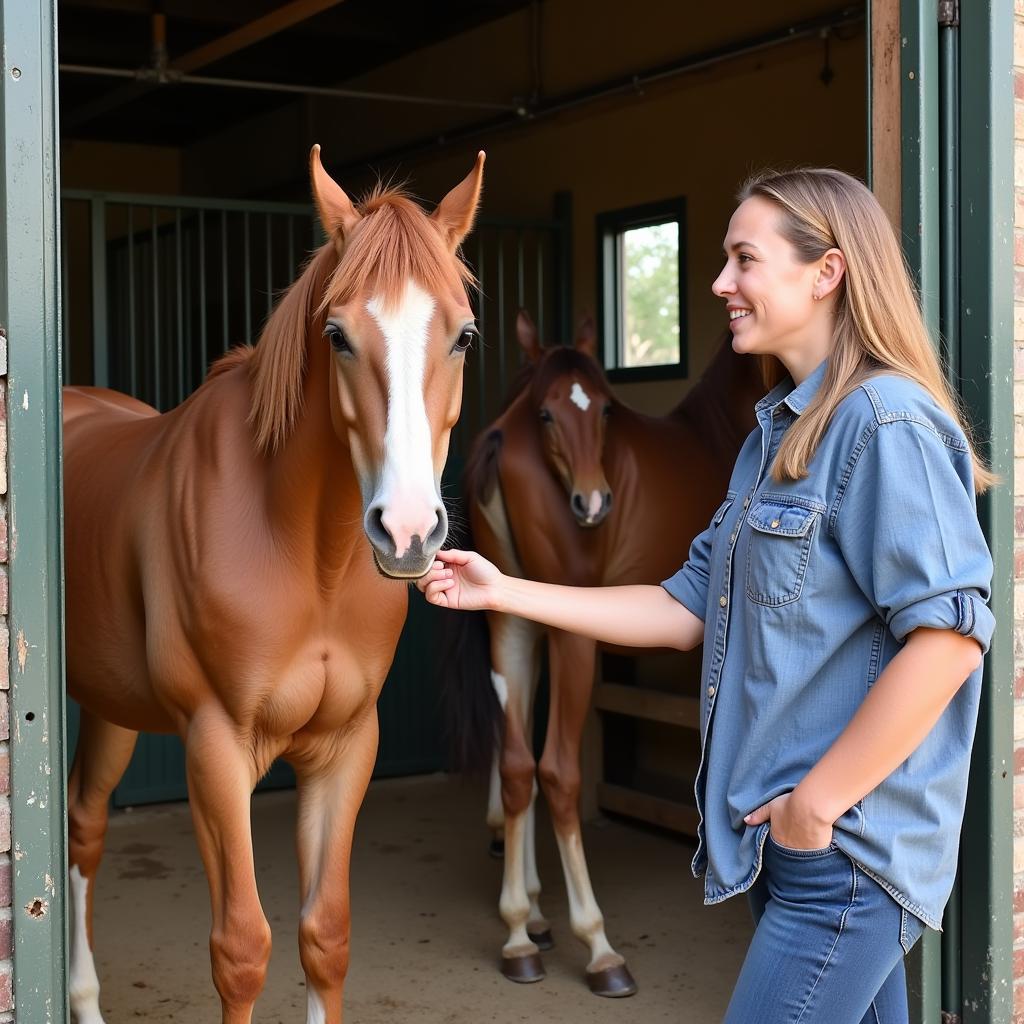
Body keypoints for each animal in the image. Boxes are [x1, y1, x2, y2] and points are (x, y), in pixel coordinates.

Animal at [65, 146, 487, 1024]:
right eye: (337, 335)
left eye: (463, 334)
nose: (407, 530)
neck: (307, 558)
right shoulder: (216, 746)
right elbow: (242, 949)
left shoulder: (346, 745)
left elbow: (325, 935)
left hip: (109, 703)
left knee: (84, 824)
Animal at [452, 309, 765, 991]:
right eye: (549, 414)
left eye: (604, 411)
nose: (594, 504)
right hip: (573, 639)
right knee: (556, 772)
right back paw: (597, 947)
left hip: (513, 625)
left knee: (517, 765)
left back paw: (522, 933)